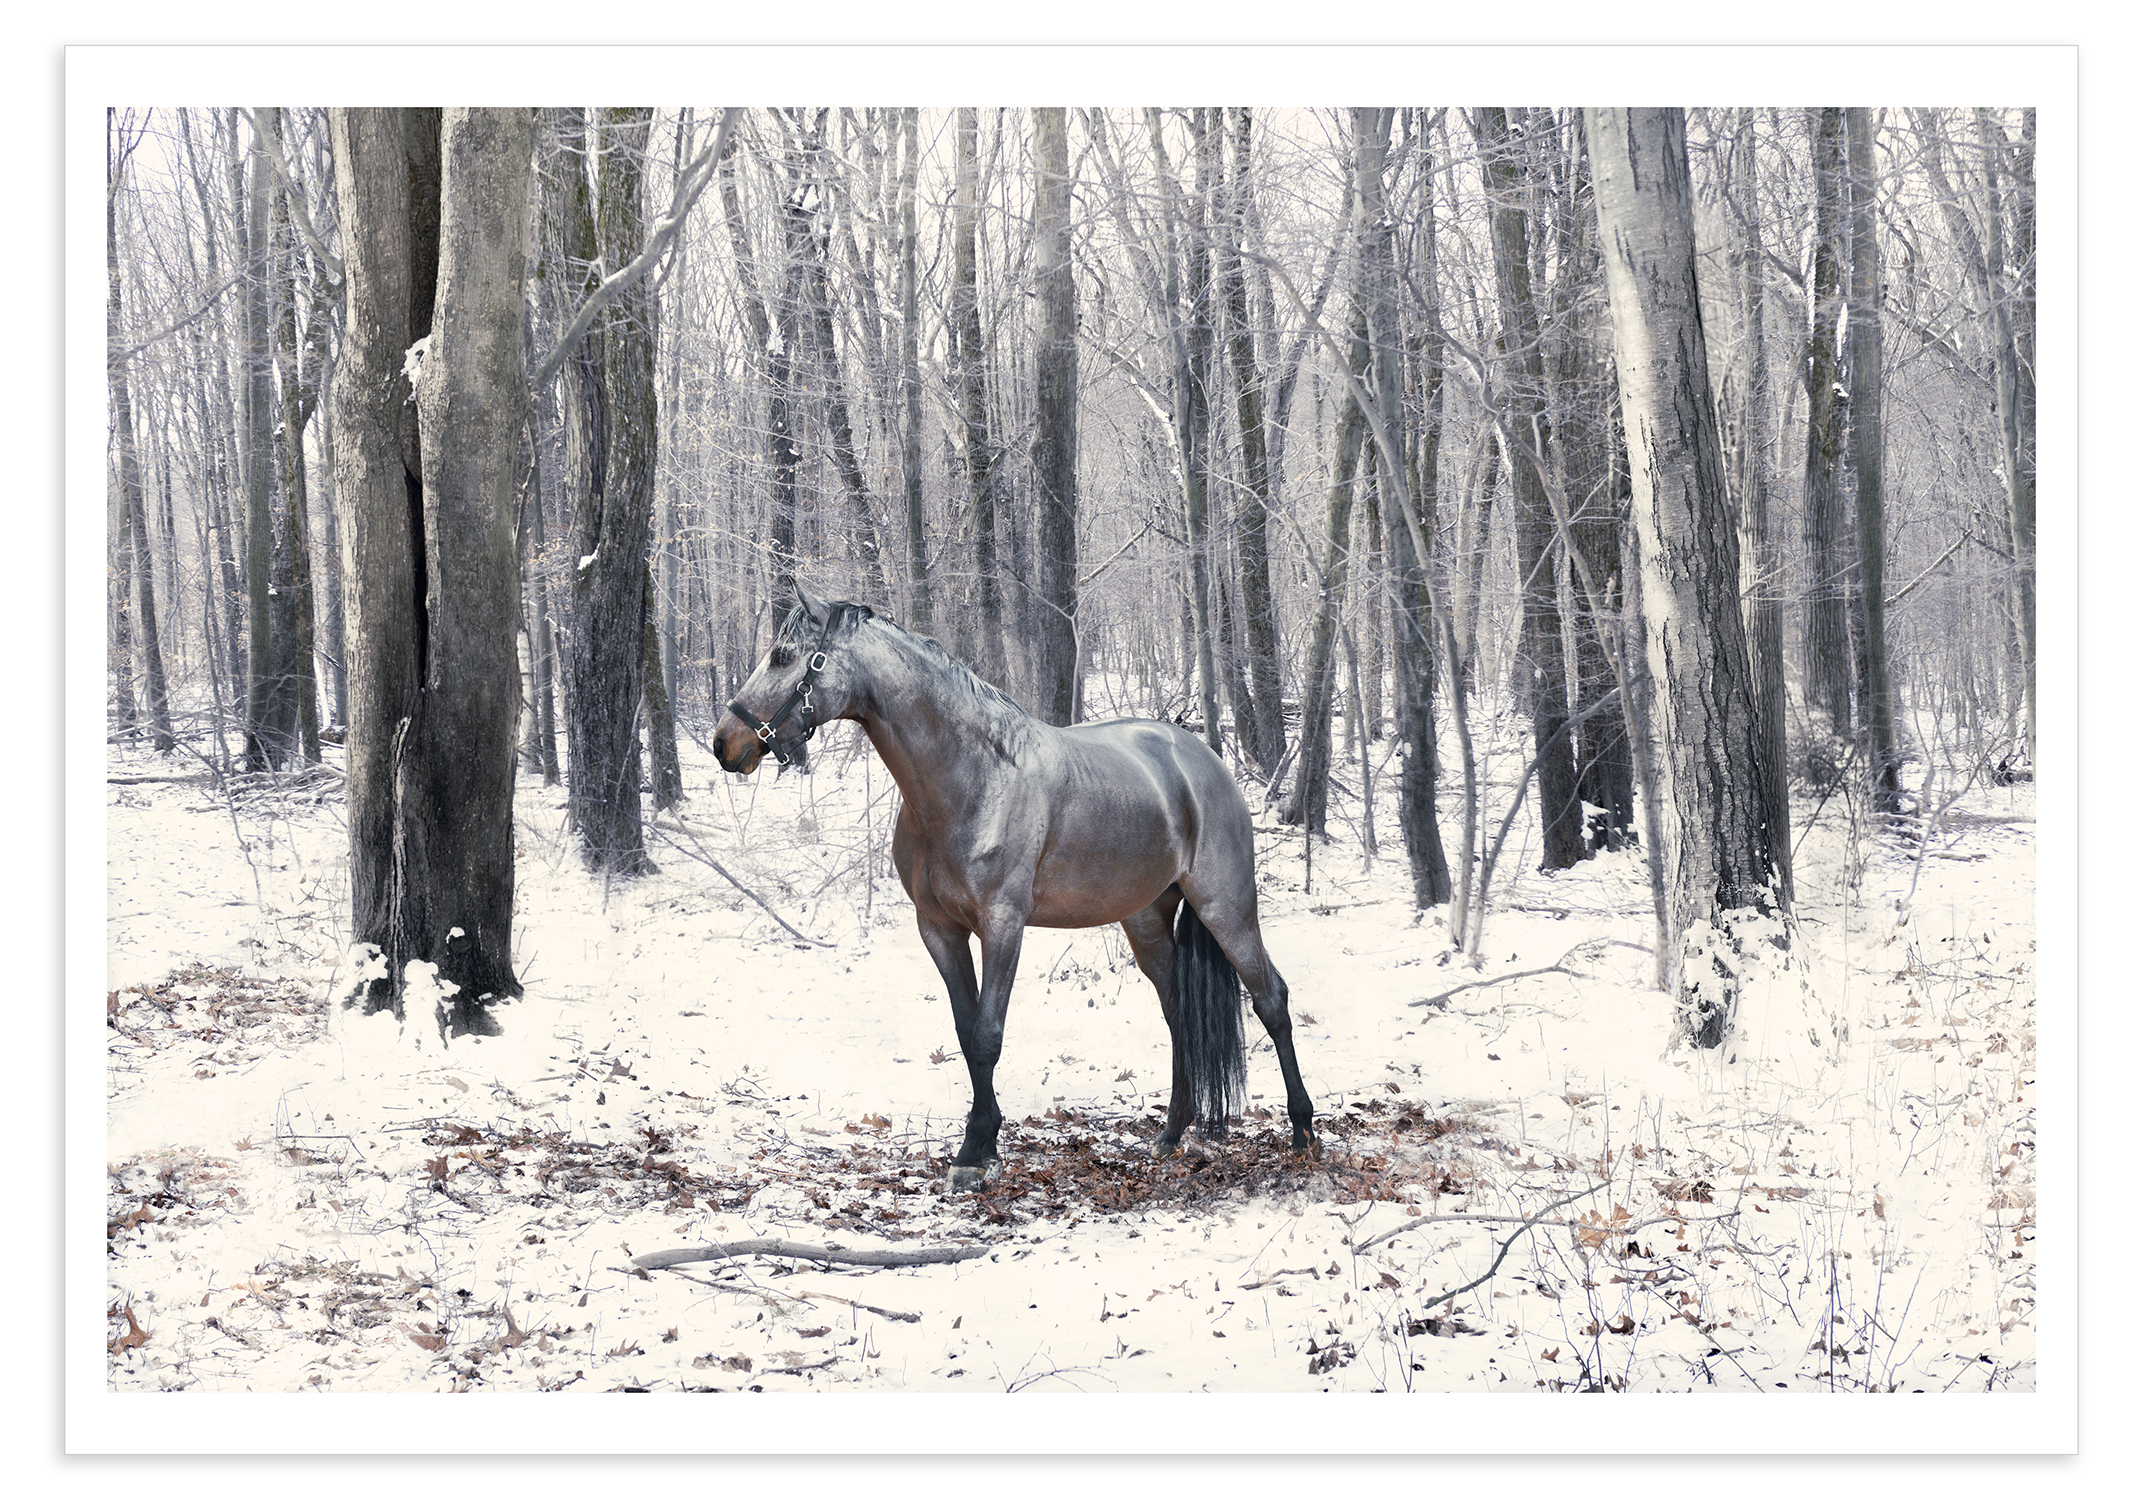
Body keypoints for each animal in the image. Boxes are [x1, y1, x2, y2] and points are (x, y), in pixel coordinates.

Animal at [713, 586, 1316, 1190]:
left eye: (783, 656)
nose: (725, 742)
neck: (971, 777)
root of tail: (1204, 762)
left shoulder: (1002, 925)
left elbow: (987, 1034)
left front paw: (975, 1150)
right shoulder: (939, 929)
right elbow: (965, 1033)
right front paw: (980, 1144)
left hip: (1226, 907)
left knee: (1272, 999)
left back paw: (1304, 1131)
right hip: (1145, 922)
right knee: (1178, 1014)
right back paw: (1171, 1133)